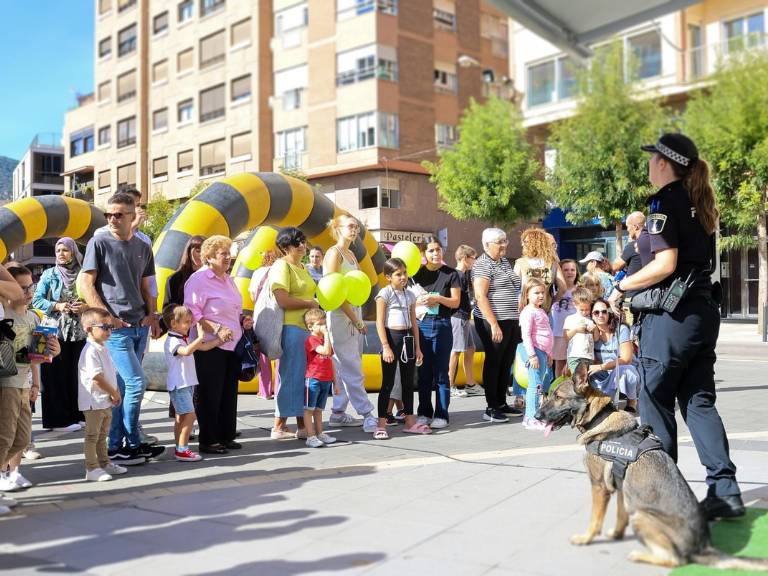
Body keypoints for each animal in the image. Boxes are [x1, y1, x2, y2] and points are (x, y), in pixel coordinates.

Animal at [536, 364, 768, 572]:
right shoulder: (622, 488)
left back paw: (639, 555)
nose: (536, 417)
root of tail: (702, 548)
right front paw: (616, 535)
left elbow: (595, 520)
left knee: (675, 560)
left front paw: (585, 538)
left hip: (641, 516)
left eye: (558, 397)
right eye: (549, 395)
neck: (599, 417)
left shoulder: (600, 487)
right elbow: (620, 515)